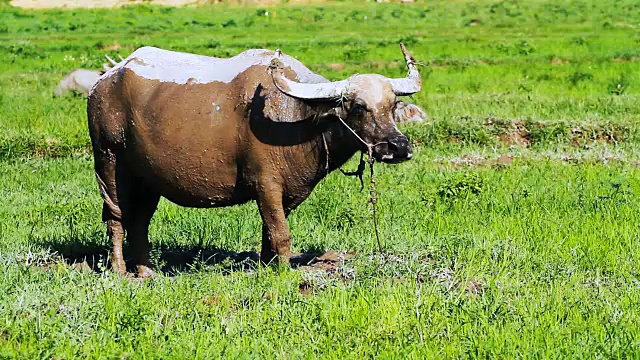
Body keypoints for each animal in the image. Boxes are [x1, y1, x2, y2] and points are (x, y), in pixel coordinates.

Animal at [87, 43, 422, 278]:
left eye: (393, 104)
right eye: (358, 106)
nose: (399, 147)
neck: (298, 117)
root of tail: (103, 82)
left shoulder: (286, 193)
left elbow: (268, 233)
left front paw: (268, 265)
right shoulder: (266, 183)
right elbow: (281, 233)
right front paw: (284, 272)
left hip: (148, 179)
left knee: (139, 221)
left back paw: (146, 271)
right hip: (109, 163)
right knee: (116, 217)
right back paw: (120, 270)